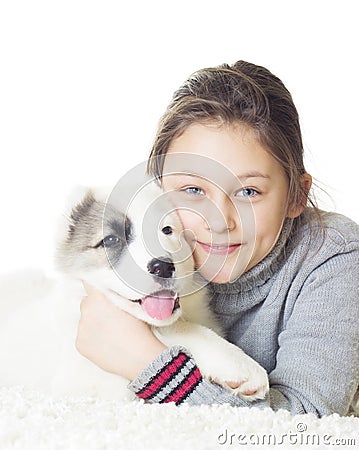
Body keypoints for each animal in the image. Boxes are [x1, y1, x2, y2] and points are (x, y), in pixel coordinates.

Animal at [0, 181, 268, 400]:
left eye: (167, 230)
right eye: (111, 240)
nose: (163, 267)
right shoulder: (85, 382)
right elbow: (174, 328)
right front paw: (237, 364)